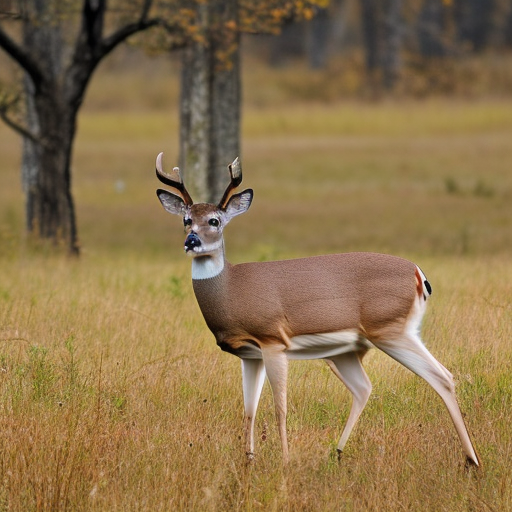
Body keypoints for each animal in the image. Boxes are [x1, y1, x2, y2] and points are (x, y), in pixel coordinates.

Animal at [155, 153, 480, 468]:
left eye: (214, 221)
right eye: (186, 220)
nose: (191, 241)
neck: (231, 289)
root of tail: (419, 274)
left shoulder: (273, 340)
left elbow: (280, 408)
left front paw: (285, 461)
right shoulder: (249, 354)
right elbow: (249, 409)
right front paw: (248, 461)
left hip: (390, 329)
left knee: (442, 376)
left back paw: (472, 461)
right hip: (348, 350)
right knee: (364, 387)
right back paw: (337, 452)